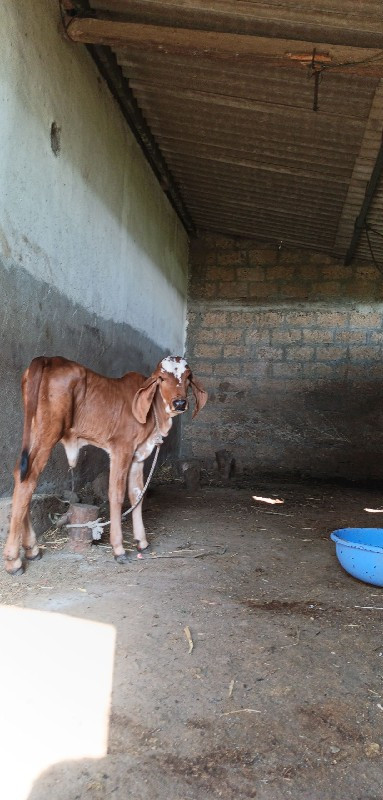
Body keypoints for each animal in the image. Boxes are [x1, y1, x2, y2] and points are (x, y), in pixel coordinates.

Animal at [3, 356, 207, 576]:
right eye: (161, 378)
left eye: (188, 377)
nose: (180, 402)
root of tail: (47, 359)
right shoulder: (121, 449)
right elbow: (116, 495)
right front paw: (118, 549)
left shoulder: (138, 456)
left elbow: (137, 495)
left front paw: (142, 542)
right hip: (48, 432)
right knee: (28, 481)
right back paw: (14, 560)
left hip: (33, 430)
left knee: (21, 476)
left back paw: (31, 549)